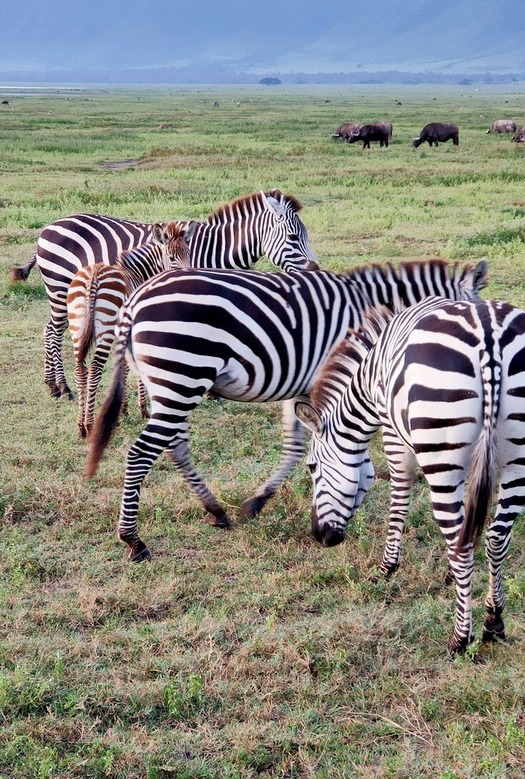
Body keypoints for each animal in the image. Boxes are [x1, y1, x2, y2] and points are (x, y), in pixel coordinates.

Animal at [10, 189, 318, 400]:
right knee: (53, 332)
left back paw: (52, 384)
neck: (212, 252)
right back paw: (60, 387)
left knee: (49, 330)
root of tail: (50, 226)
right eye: (294, 238)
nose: (315, 269)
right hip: (60, 287)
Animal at [67, 221, 194, 439]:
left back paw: (80, 426)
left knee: (80, 369)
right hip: (105, 330)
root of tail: (94, 275)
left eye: (188, 253)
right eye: (171, 258)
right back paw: (90, 425)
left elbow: (124, 368)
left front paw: (123, 409)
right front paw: (142, 409)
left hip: (77, 328)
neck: (139, 273)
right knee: (94, 370)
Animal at [84, 258, 488, 564]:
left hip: (168, 383)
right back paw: (133, 540)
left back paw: (215, 510)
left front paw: (262, 503)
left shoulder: (305, 386)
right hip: (182, 374)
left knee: (175, 445)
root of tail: (135, 300)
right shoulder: (336, 380)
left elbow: (298, 448)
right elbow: (342, 455)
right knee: (142, 452)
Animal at [295, 295, 525, 655]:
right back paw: (493, 621)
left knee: (464, 544)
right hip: (515, 459)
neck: (371, 373)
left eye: (312, 467)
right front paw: (452, 577)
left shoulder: (392, 431)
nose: (320, 536)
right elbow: (468, 524)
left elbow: (399, 497)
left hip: (440, 445)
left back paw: (460, 639)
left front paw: (387, 567)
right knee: (496, 538)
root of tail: (489, 334)